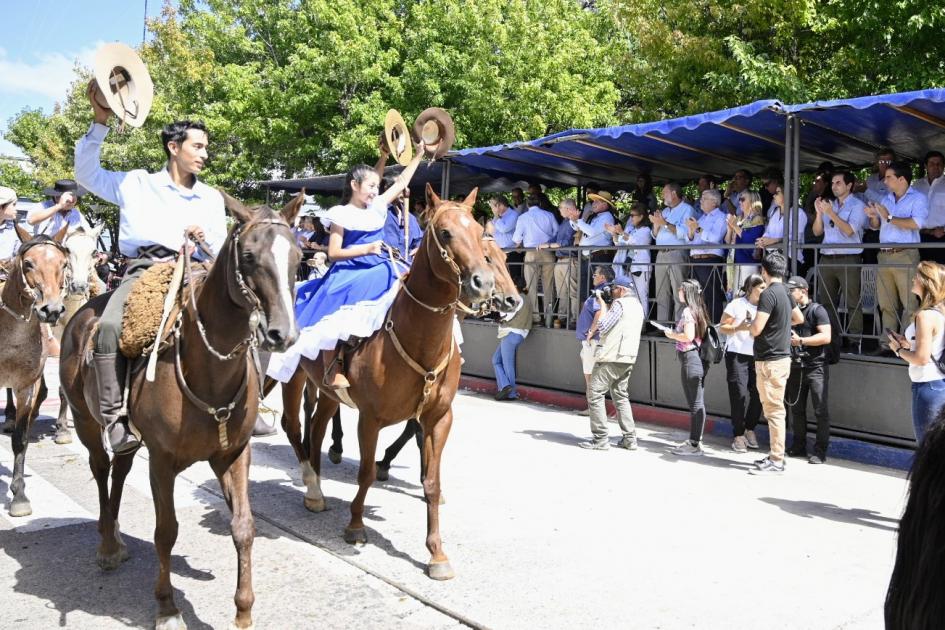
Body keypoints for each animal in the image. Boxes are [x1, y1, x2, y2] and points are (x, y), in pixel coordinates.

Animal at [60, 195, 302, 628]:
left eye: (299, 256)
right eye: (248, 255)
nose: (282, 333)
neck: (206, 369)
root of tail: (83, 313)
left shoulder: (233, 455)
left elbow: (244, 527)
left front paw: (243, 611)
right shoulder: (162, 461)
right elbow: (166, 531)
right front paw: (167, 606)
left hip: (131, 439)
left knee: (120, 469)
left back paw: (117, 537)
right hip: (87, 423)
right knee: (101, 470)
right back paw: (106, 544)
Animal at [280, 186, 498, 584]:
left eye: (478, 231)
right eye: (445, 233)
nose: (483, 283)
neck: (419, 337)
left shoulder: (438, 419)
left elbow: (432, 483)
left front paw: (436, 553)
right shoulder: (371, 418)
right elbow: (366, 473)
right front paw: (355, 525)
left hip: (328, 392)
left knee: (316, 428)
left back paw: (316, 487)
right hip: (291, 376)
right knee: (293, 425)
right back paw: (311, 483)